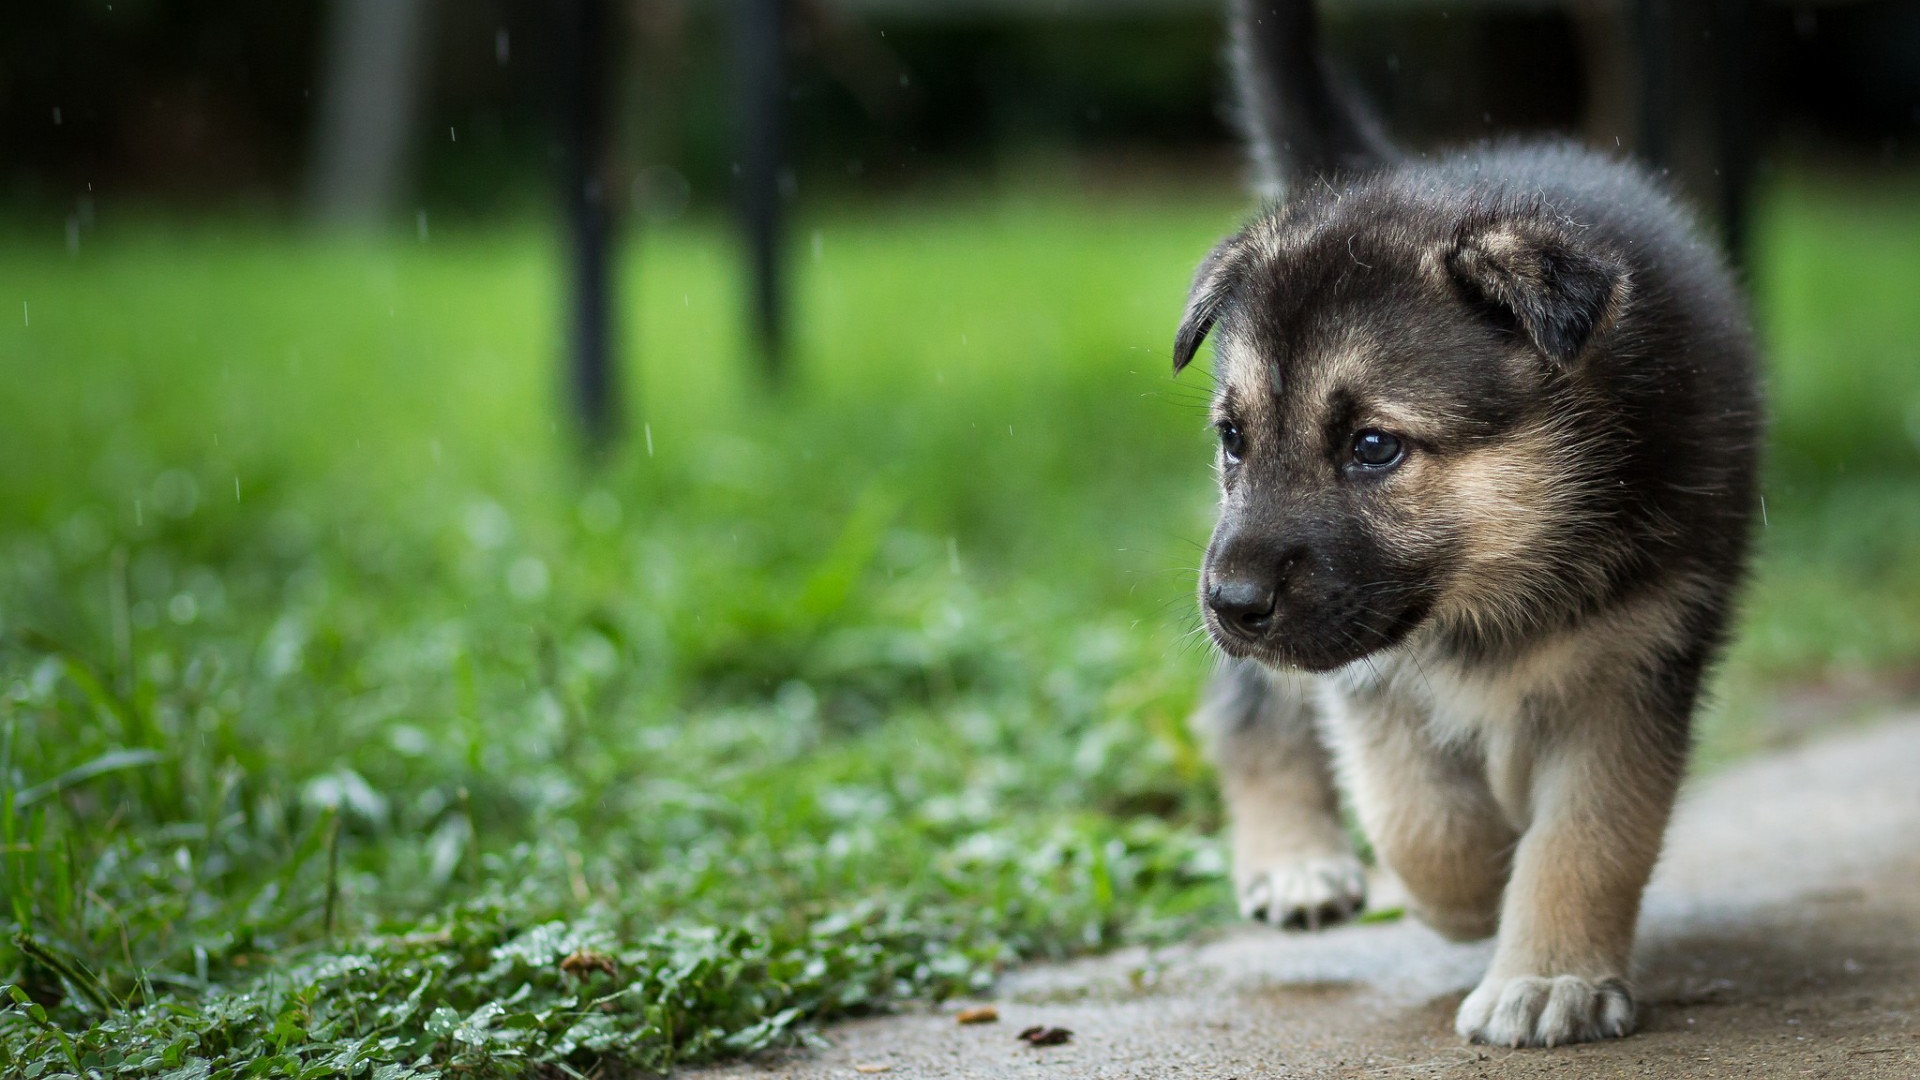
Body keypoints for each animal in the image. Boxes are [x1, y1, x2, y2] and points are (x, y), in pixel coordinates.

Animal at [1182, 0, 1766, 1045]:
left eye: (1374, 447)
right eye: (1234, 439)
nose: (1230, 603)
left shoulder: (1636, 663)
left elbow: (1590, 832)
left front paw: (1548, 976)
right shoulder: (1368, 673)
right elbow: (1422, 821)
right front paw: (1474, 892)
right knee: (1246, 703)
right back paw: (1293, 859)